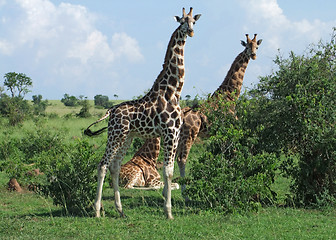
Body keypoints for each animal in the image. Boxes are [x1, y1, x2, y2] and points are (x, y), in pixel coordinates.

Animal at [84, 7, 201, 219]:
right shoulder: (170, 132)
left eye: (193, 22)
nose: (190, 31)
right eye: (181, 21)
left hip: (126, 137)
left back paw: (120, 210)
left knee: (115, 166)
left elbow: (171, 169)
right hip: (115, 134)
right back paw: (97, 210)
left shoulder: (175, 133)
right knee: (103, 165)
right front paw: (169, 212)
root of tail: (110, 111)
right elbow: (168, 170)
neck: (174, 91)